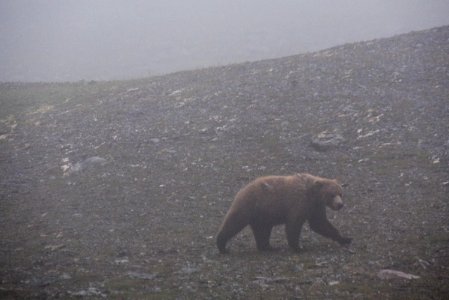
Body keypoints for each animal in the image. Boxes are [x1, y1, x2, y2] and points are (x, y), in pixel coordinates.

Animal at [216, 173, 350, 253]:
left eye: (340, 193)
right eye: (332, 194)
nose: (340, 204)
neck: (313, 195)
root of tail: (242, 189)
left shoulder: (315, 207)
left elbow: (320, 224)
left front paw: (345, 238)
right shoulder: (298, 202)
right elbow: (294, 224)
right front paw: (299, 247)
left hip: (263, 215)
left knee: (262, 230)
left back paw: (268, 247)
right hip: (249, 205)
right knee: (234, 222)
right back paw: (222, 245)